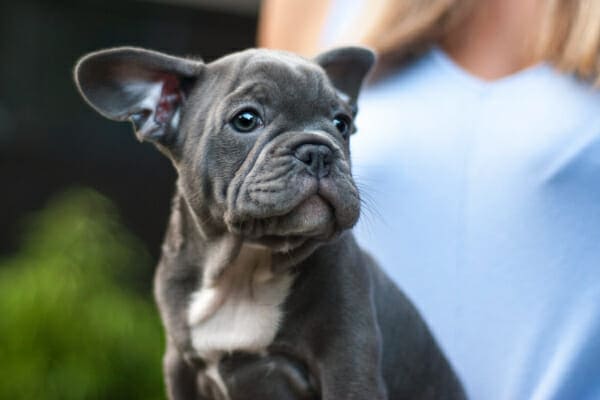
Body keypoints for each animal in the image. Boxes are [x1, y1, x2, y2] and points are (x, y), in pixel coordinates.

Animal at [71, 46, 464, 400]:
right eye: (246, 120)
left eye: (342, 124)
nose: (318, 150)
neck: (244, 266)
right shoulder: (180, 368)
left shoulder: (349, 366)